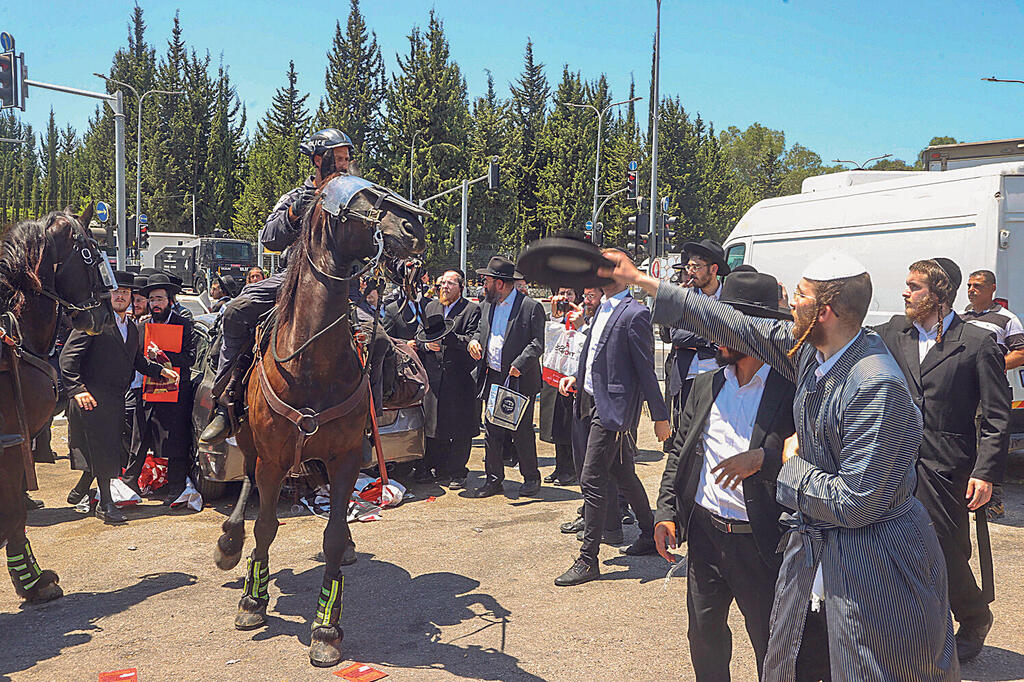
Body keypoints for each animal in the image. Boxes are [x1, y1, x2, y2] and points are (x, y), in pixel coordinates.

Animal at [214, 174, 425, 663]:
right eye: (363, 198)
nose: (415, 227)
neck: (309, 361)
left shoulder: (344, 458)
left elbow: (331, 536)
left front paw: (327, 627)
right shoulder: (273, 458)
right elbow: (266, 526)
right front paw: (252, 599)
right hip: (249, 442)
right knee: (246, 482)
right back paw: (230, 542)